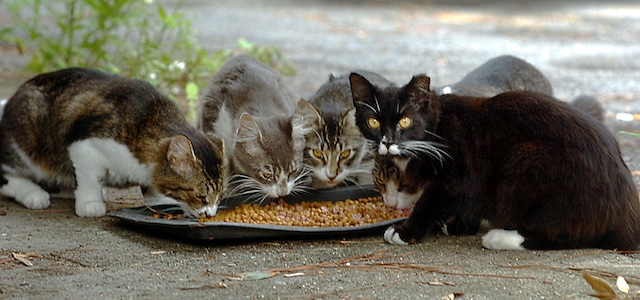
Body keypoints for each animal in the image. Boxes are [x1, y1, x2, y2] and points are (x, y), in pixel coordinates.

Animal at [0, 67, 225, 218]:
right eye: (201, 196)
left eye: (220, 196)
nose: (210, 214)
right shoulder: (83, 145)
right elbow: (90, 178)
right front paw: (90, 203)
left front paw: (159, 197)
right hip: (29, 139)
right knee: (7, 176)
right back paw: (34, 193)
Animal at [350, 71, 640, 250]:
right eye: (373, 121)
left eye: (405, 120)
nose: (387, 141)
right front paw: (457, 224)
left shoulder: (459, 167)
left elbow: (432, 200)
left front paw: (405, 231)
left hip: (529, 158)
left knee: (567, 234)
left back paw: (500, 237)